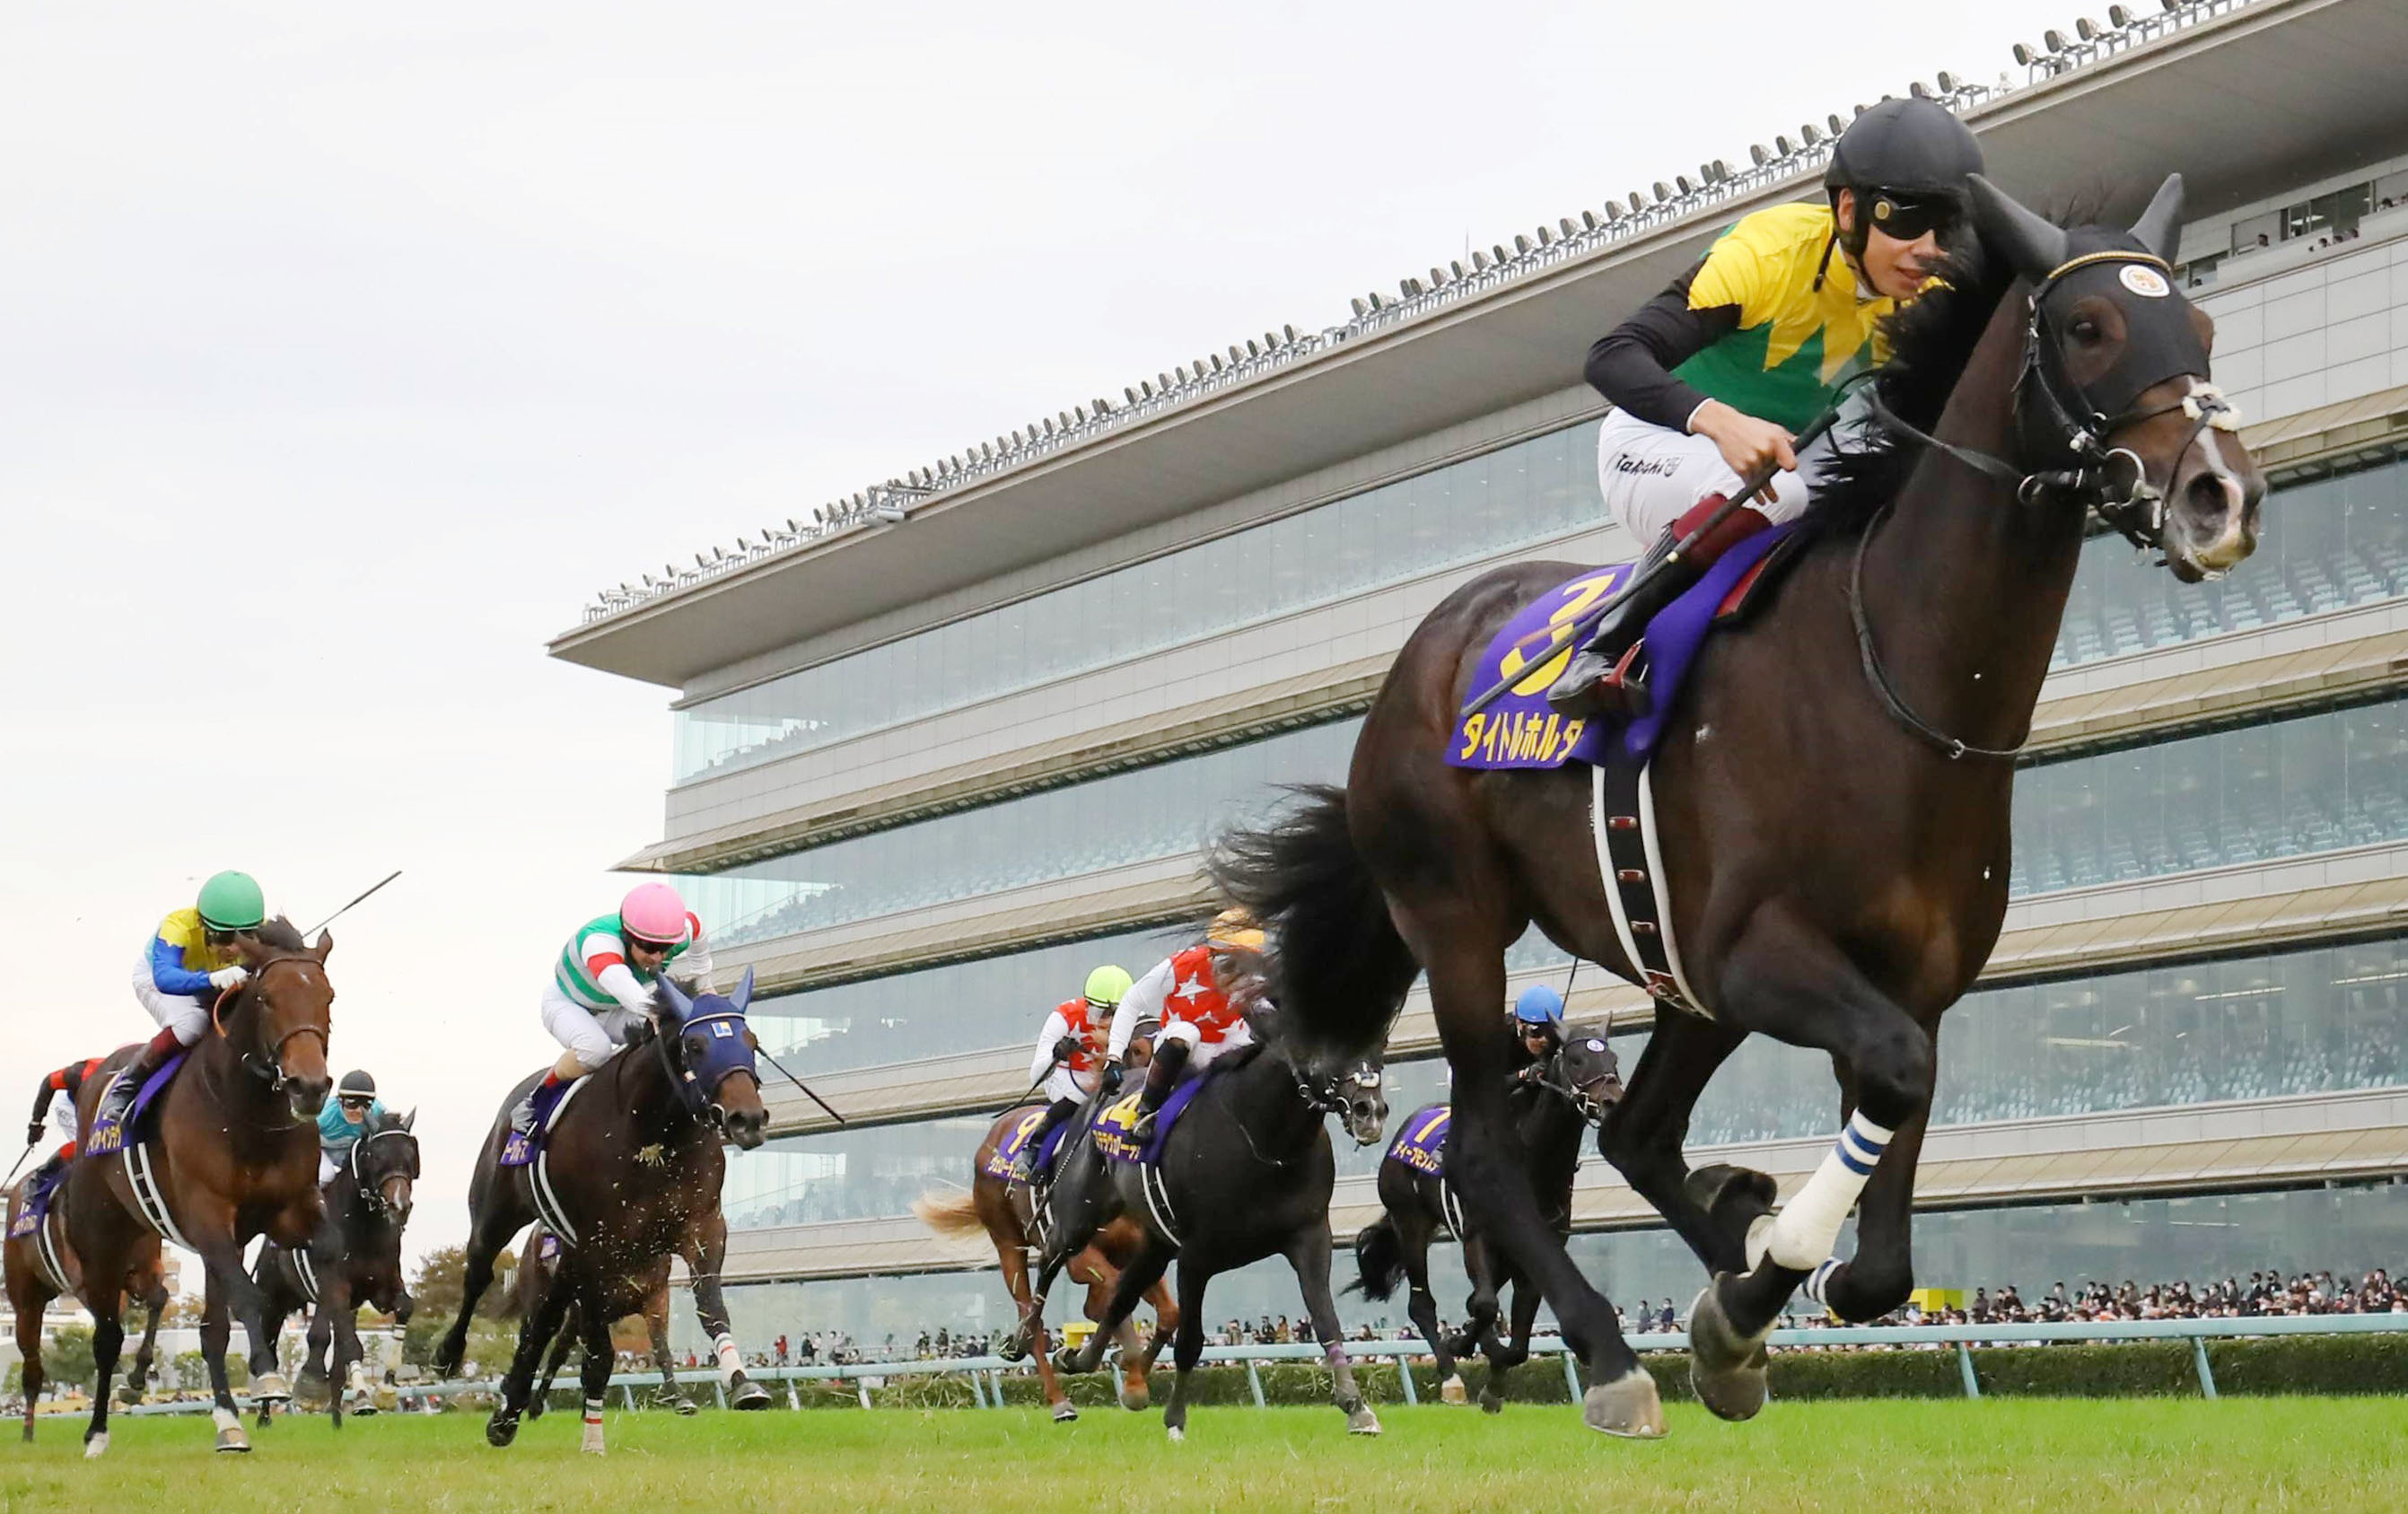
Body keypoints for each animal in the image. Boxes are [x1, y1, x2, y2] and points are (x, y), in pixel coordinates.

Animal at [65, 919, 334, 1453]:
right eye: (267, 998)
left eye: (329, 996)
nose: (310, 1086)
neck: (248, 1113)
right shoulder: (208, 1216)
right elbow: (249, 1297)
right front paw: (267, 1377)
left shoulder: (290, 1211)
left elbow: (332, 1261)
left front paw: (313, 1375)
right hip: (104, 1240)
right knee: (108, 1337)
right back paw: (98, 1430)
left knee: (210, 1330)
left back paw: (228, 1424)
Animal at [435, 967, 770, 1453]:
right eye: (695, 1045)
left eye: (751, 1039)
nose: (748, 1119)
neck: (652, 1134)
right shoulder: (597, 1246)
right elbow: (599, 1356)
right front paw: (592, 1438)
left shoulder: (701, 1227)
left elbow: (709, 1307)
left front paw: (743, 1383)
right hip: (498, 1213)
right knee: (479, 1275)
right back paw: (450, 1357)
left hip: (565, 1265)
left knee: (540, 1326)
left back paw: (508, 1413)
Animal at [910, 1098, 1175, 1415]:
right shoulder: (1078, 1255)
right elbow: (1115, 1295)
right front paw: (1125, 1372)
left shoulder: (1136, 1252)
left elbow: (1169, 1313)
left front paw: (1131, 1371)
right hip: (1007, 1242)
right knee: (1031, 1319)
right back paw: (1060, 1402)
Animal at [1213, 171, 2264, 1434]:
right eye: (2088, 326)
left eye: (2199, 325)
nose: (2220, 495)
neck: (1892, 677)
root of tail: (1412, 665)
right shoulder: (1760, 955)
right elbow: (1891, 1088)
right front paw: (1753, 1283)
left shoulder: (1909, 979)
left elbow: (1882, 1245)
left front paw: (1747, 1296)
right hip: (1462, 923)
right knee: (1481, 1154)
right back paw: (1608, 1355)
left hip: (1680, 982)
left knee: (1634, 1131)